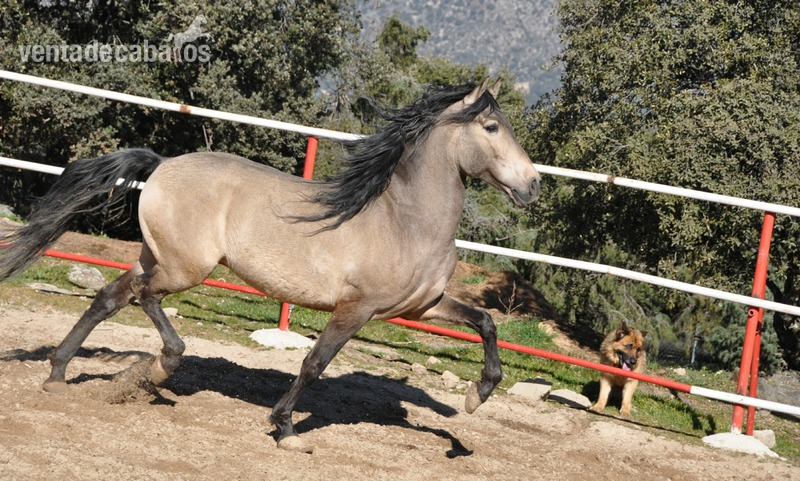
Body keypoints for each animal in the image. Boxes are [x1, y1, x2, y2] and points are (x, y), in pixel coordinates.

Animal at [0, 80, 540, 453]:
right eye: (491, 127)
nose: (533, 185)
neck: (406, 221)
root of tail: (163, 164)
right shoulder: (356, 308)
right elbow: (314, 363)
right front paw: (285, 429)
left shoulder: (421, 308)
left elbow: (486, 323)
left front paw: (476, 396)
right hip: (184, 269)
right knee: (144, 299)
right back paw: (162, 366)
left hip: (159, 258)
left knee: (110, 296)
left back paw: (58, 375)